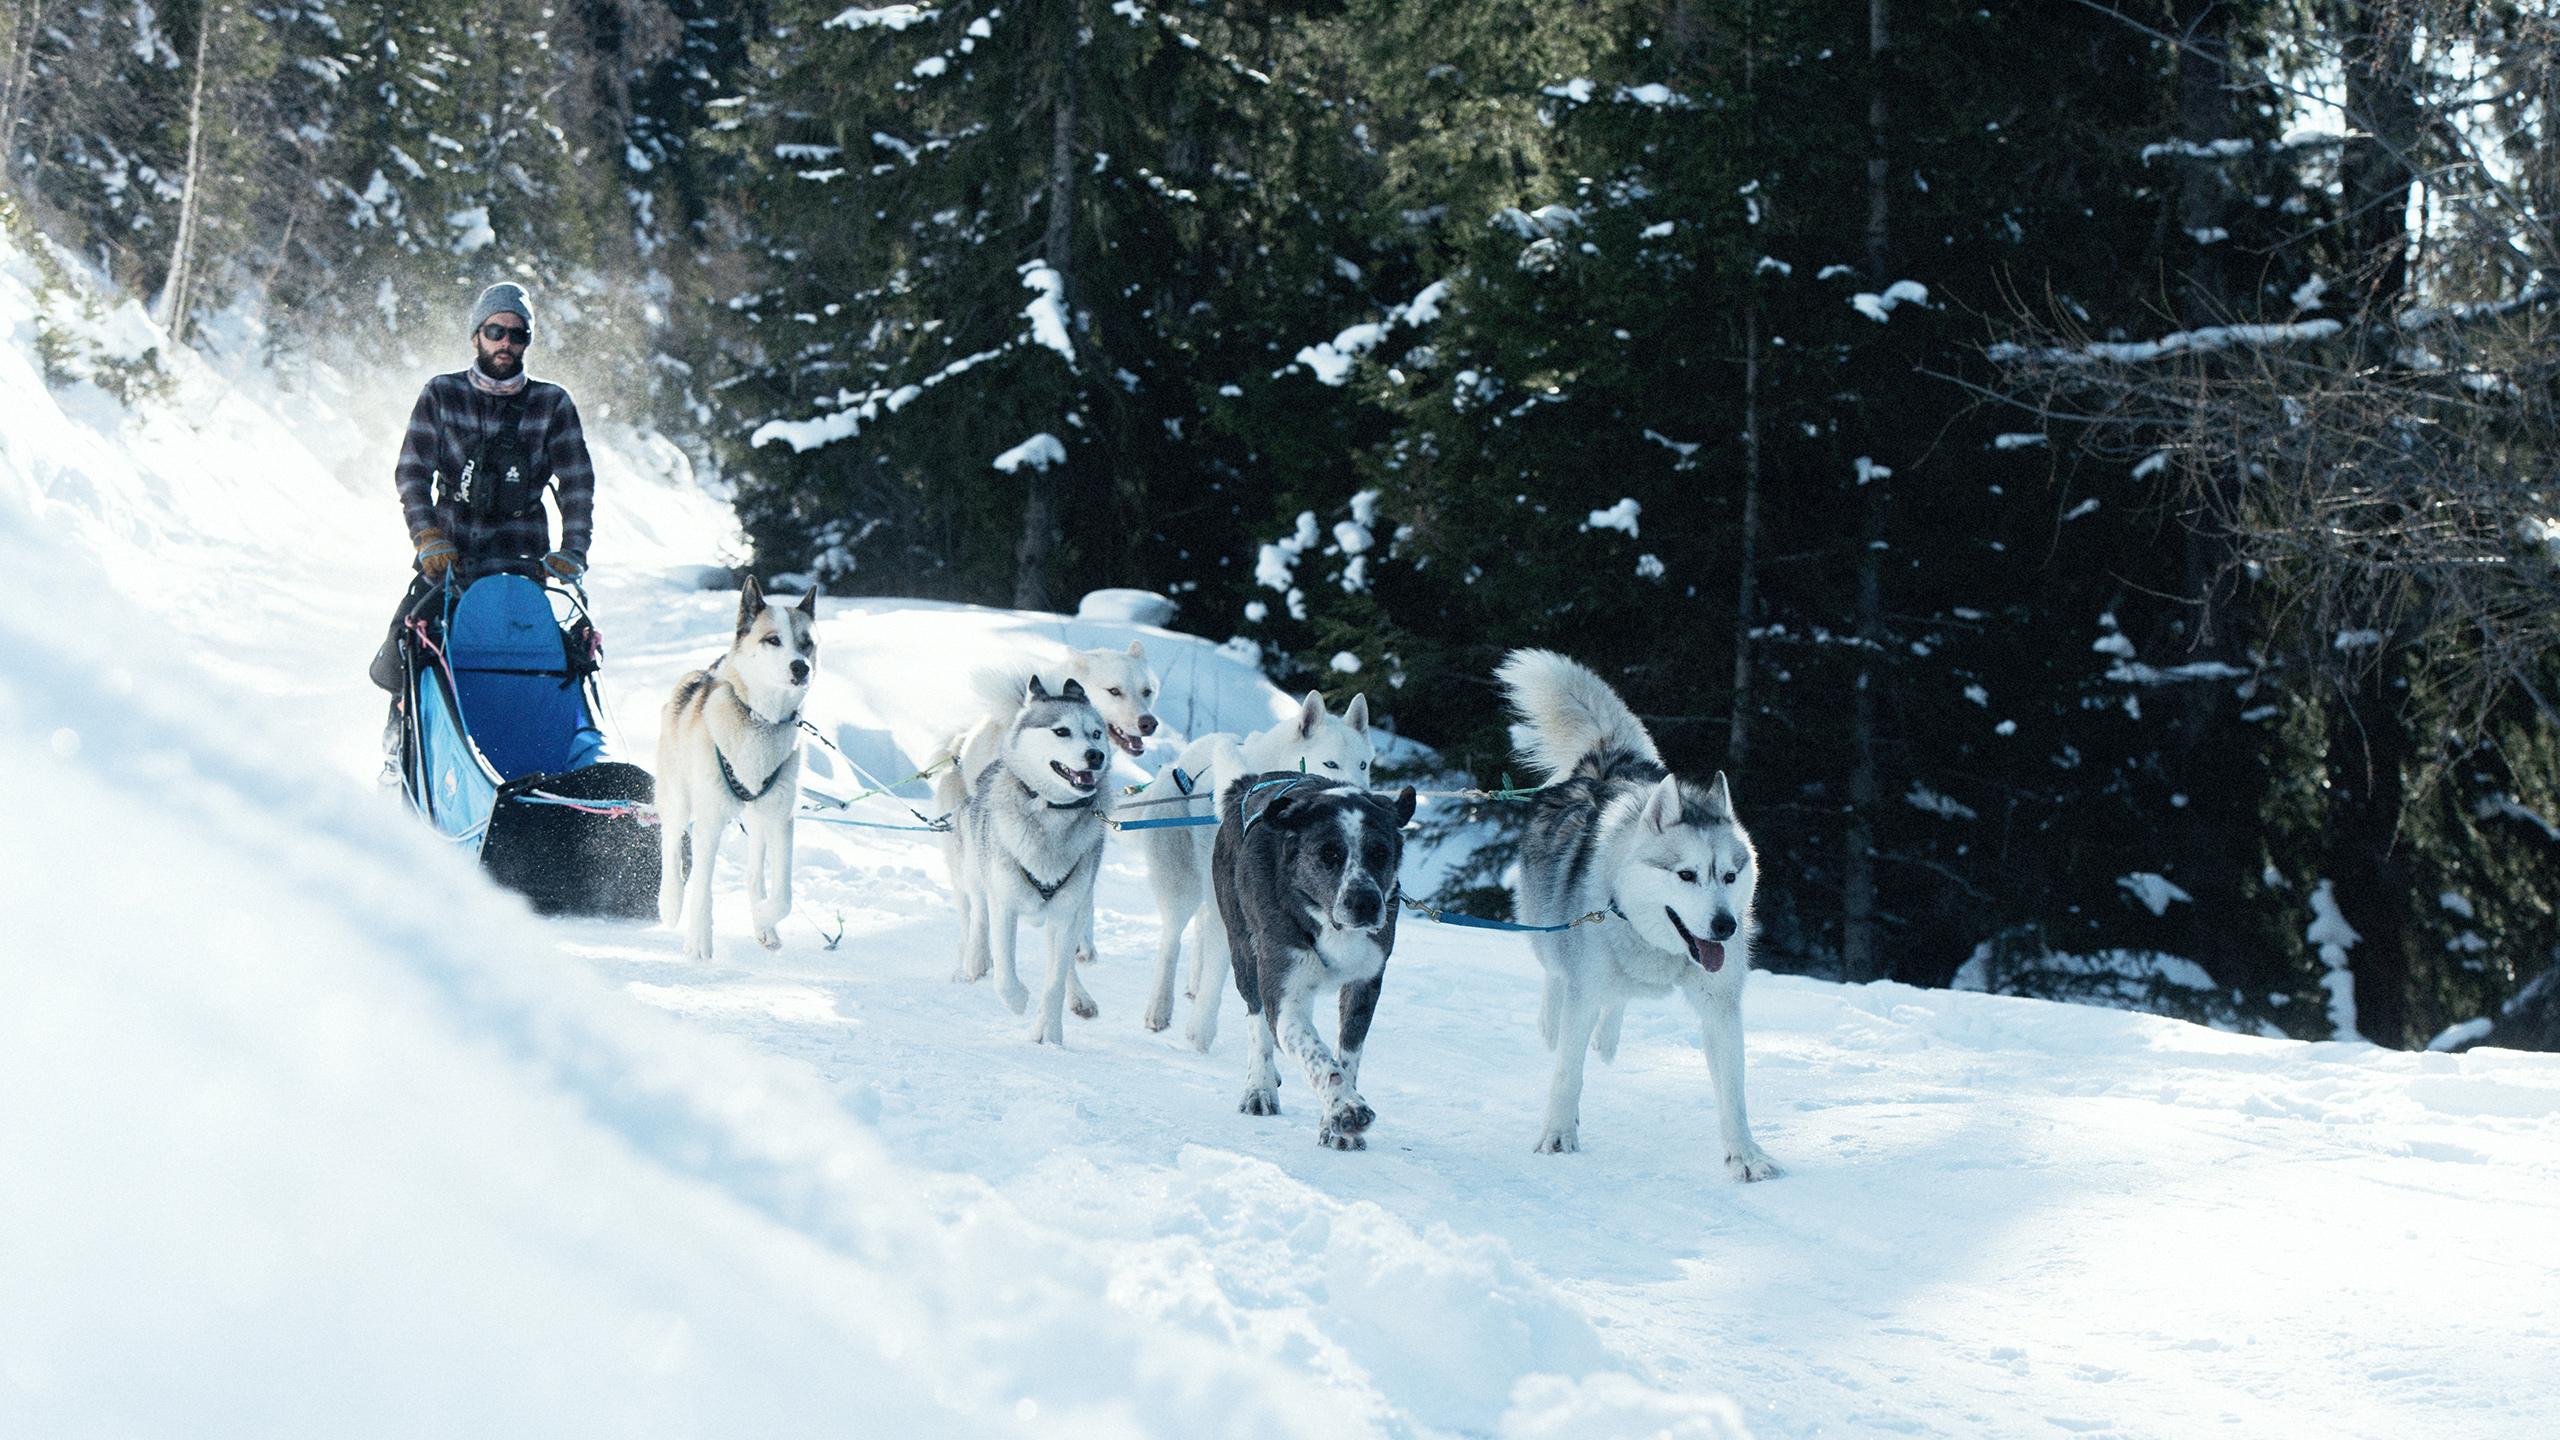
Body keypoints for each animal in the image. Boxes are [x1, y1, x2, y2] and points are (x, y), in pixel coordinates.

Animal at [660, 571, 819, 953]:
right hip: (679, 799)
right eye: (773, 640)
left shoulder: (781, 817)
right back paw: (670, 904)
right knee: (669, 842)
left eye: (807, 643)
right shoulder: (710, 818)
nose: (801, 667)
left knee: (754, 872)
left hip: (758, 818)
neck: (760, 719)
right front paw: (698, 939)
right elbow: (702, 887)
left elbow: (784, 896)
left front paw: (763, 916)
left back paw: (764, 924)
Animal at [936, 676, 1105, 1035]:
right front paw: (1016, 1000)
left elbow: (1055, 981)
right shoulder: (1005, 902)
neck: (1051, 813)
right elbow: (1004, 971)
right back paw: (974, 960)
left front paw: (1049, 1034)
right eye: (1061, 731)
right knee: (976, 912)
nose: (1096, 755)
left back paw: (1079, 997)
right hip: (972, 867)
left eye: (1097, 733)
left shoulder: (1067, 913)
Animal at [1146, 691, 1382, 1050]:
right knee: (1172, 938)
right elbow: (1221, 971)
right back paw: (1159, 1008)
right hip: (1182, 883)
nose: (1361, 798)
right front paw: (1200, 1033)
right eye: (1331, 764)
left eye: (1363, 765)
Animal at [1203, 768, 1423, 1147]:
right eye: (1329, 853)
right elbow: (1315, 1053)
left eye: (1380, 852)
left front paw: (1335, 1123)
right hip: (1243, 952)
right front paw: (1347, 1108)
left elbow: (1347, 1056)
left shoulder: (1365, 983)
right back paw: (1260, 1088)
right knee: (1257, 1021)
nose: (1365, 902)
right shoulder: (1285, 987)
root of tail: (1248, 782)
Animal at [1495, 650, 1781, 1178]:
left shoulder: (1720, 1007)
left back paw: (1607, 1037)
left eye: (1730, 876)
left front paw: (1745, 1156)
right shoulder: (1585, 988)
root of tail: (1607, 758)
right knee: (1555, 973)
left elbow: (1734, 1096)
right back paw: (1551, 1019)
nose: (1725, 927)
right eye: (1687, 874)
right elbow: (1566, 1073)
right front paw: (1558, 1134)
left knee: (1618, 997)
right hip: (1547, 928)